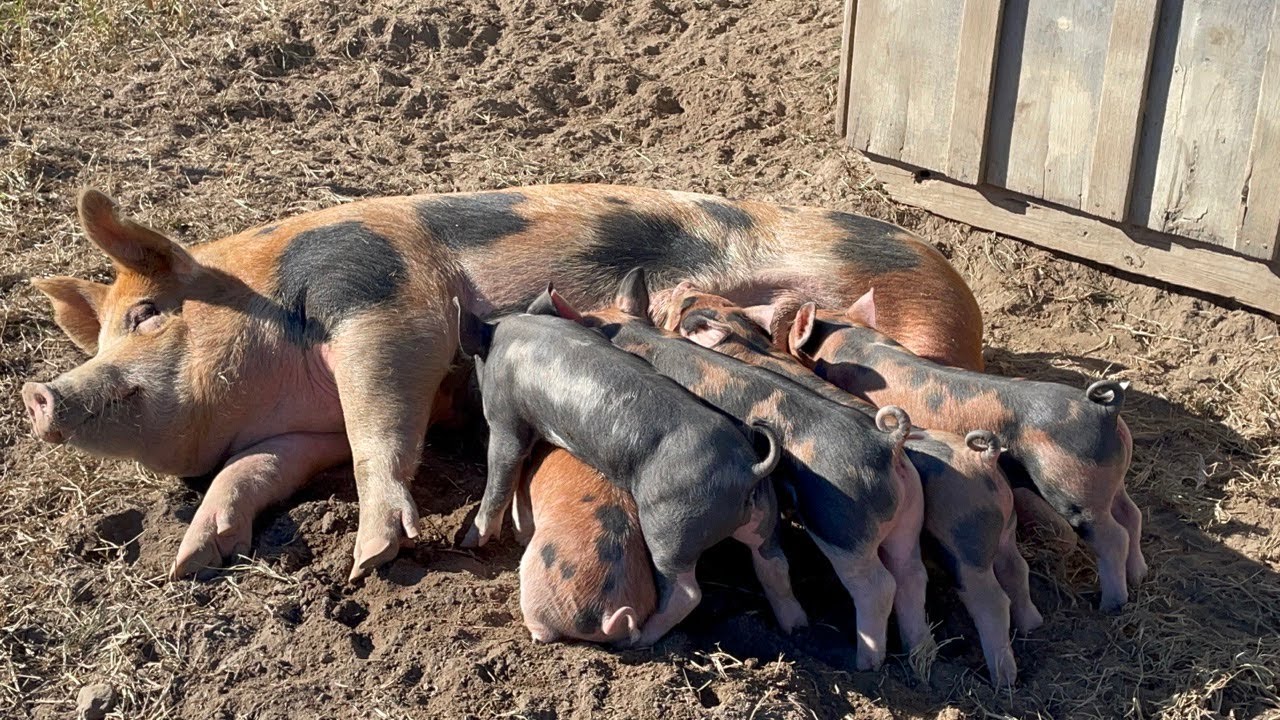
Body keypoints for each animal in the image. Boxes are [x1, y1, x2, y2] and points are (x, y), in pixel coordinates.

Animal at [20, 185, 983, 581]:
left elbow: (380, 424)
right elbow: (249, 471)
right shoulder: (299, 434)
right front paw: (188, 561)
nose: (41, 393)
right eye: (102, 331)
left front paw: (374, 556)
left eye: (148, 314)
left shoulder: (381, 299)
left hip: (917, 312)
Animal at [540, 269, 931, 672]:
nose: (682, 284)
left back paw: (865, 664)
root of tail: (887, 444)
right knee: (910, 574)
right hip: (908, 516)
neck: (636, 334)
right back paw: (915, 655)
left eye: (681, 306)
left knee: (877, 586)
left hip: (843, 528)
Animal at [663, 289, 1041, 685]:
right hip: (980, 526)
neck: (744, 343)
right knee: (995, 570)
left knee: (967, 596)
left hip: (941, 541)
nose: (676, 290)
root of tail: (982, 460)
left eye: (684, 307)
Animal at [784, 290, 1144, 612]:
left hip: (1074, 489)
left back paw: (1111, 604)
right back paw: (1138, 574)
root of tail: (1103, 410)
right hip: (1112, 479)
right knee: (1131, 515)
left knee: (1113, 536)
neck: (853, 342)